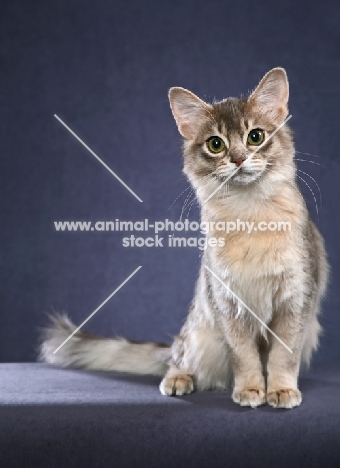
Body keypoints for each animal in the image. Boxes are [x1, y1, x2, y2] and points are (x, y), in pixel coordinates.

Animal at [38, 68, 328, 410]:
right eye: (215, 144)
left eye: (255, 137)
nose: (239, 159)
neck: (249, 213)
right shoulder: (227, 303)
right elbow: (245, 356)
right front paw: (250, 390)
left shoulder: (296, 298)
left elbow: (284, 356)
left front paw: (280, 390)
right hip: (201, 336)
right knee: (180, 360)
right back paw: (178, 380)